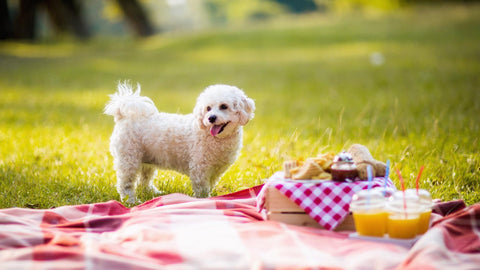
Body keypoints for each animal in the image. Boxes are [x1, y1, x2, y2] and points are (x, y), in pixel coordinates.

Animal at [104, 82, 255, 202]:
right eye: (208, 108)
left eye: (224, 106)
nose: (211, 118)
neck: (214, 137)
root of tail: (123, 116)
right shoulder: (199, 169)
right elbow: (202, 189)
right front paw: (204, 200)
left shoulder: (216, 170)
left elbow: (211, 184)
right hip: (129, 160)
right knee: (125, 184)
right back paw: (131, 200)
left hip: (146, 161)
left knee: (145, 180)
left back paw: (153, 192)